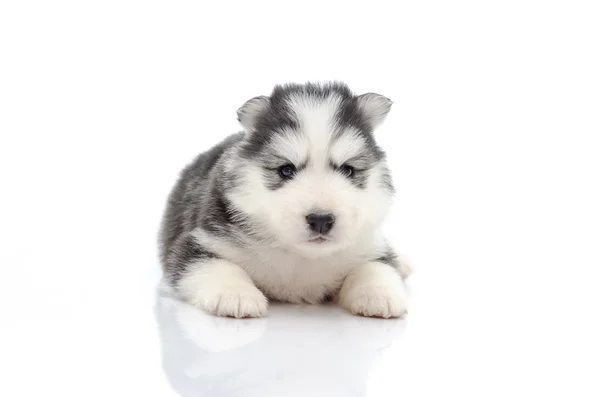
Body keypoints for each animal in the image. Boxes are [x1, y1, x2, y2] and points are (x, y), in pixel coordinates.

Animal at [159, 82, 410, 318]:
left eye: (348, 170)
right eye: (286, 170)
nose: (321, 219)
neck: (301, 257)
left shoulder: (368, 248)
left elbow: (375, 268)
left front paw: (380, 294)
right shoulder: (199, 242)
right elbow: (217, 265)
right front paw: (236, 295)